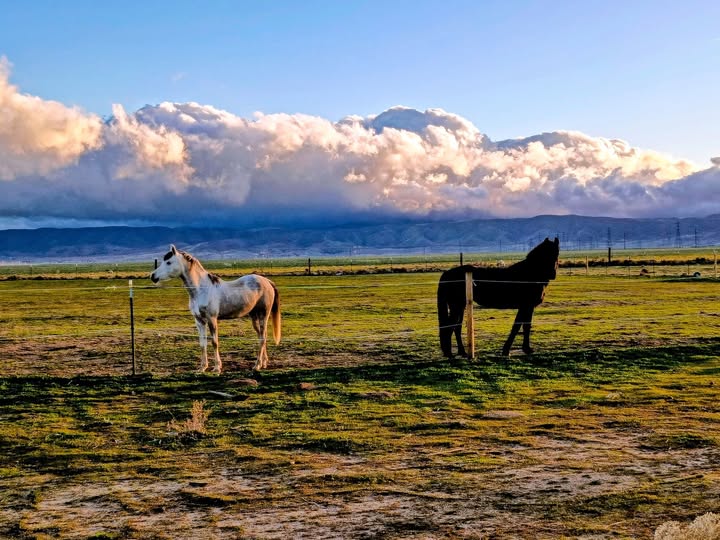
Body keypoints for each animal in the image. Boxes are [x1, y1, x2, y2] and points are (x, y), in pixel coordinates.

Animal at [150, 245, 281, 372]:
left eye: (169, 262)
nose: (153, 276)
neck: (202, 290)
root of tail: (267, 281)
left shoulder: (212, 319)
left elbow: (214, 342)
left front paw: (217, 367)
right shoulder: (199, 321)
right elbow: (202, 343)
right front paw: (202, 367)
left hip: (264, 314)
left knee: (262, 338)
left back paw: (257, 365)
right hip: (254, 316)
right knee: (261, 336)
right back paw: (264, 363)